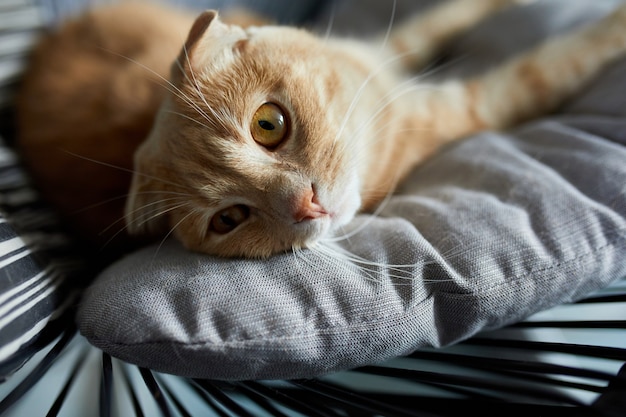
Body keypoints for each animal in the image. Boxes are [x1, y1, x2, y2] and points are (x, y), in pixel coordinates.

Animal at [15, 0, 626, 256]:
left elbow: (443, 17)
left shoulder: (386, 50)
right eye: (229, 219)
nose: (306, 205)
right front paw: (614, 25)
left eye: (267, 124)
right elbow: (553, 64)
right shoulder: (470, 106)